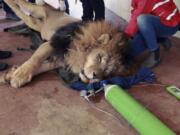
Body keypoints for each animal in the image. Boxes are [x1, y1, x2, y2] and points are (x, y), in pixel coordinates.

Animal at [0, 0, 138, 88]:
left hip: (34, 23)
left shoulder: (60, 60)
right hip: (35, 10)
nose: (95, 76)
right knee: (19, 3)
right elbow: (35, 59)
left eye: (106, 72)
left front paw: (10, 75)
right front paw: (19, 76)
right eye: (99, 58)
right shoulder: (51, 44)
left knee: (20, 12)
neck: (77, 54)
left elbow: (41, 67)